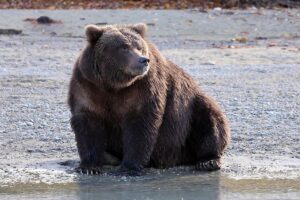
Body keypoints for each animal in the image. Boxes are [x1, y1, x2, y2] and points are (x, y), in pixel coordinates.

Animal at [68, 23, 231, 176]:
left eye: (139, 47)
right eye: (123, 47)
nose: (143, 60)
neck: (114, 85)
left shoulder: (144, 87)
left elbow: (141, 124)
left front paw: (129, 167)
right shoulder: (89, 86)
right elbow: (88, 124)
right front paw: (89, 167)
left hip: (190, 110)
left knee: (210, 120)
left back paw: (208, 161)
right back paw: (109, 157)